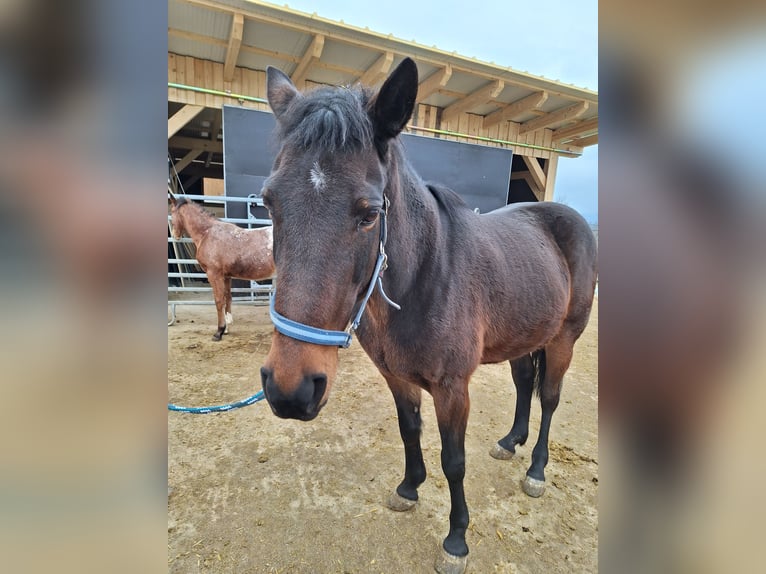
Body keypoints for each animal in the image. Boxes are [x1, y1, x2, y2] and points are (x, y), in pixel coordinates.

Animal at [169, 197, 276, 342]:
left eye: (172, 212)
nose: (175, 235)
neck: (207, 233)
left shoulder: (214, 274)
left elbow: (219, 300)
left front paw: (219, 331)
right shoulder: (226, 276)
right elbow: (227, 298)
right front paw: (226, 328)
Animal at [258, 59, 600, 574]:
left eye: (369, 213)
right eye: (269, 202)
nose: (290, 390)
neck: (426, 275)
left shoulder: (452, 388)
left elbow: (454, 461)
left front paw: (456, 539)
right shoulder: (397, 377)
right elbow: (409, 431)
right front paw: (408, 488)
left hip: (563, 340)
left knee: (550, 399)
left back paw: (536, 469)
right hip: (524, 337)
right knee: (525, 385)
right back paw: (509, 442)